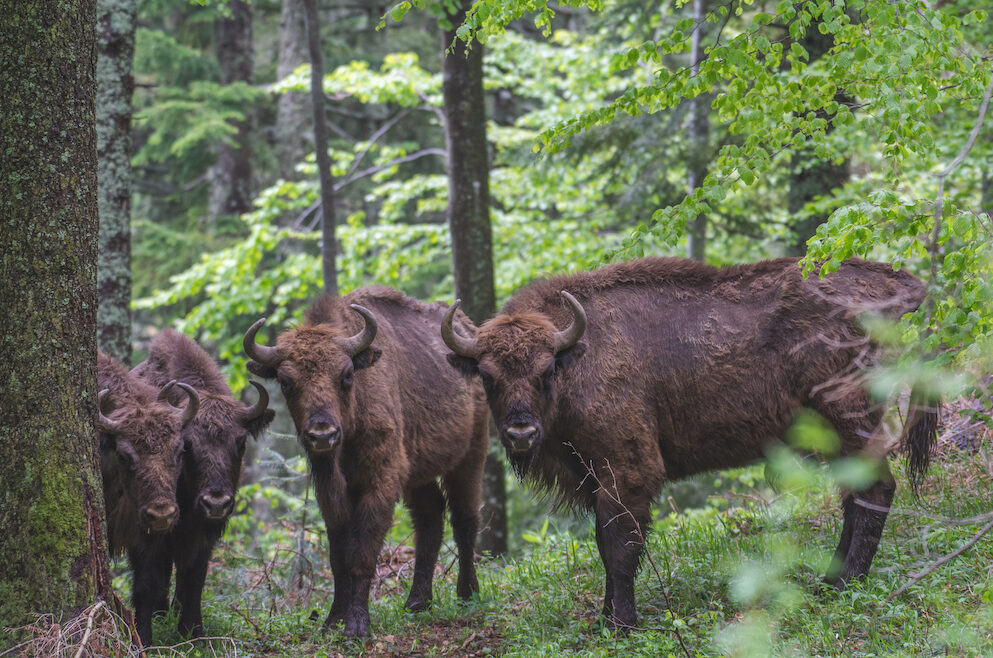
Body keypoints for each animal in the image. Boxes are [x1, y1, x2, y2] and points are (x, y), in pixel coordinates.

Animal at [96, 348, 199, 644]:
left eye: (179, 450)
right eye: (124, 455)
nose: (162, 514)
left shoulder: (144, 536)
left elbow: (145, 585)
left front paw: (143, 640)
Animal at [131, 330, 276, 640]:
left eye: (241, 442)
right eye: (188, 445)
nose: (216, 503)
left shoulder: (203, 534)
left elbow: (195, 578)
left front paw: (193, 630)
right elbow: (146, 581)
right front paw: (144, 635)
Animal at [241, 286, 488, 636]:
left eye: (346, 375)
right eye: (286, 382)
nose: (322, 434)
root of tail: (469, 332)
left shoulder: (380, 481)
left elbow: (362, 552)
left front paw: (357, 626)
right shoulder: (330, 490)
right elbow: (338, 556)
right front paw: (332, 621)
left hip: (470, 457)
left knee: (464, 519)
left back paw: (467, 595)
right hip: (419, 473)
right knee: (430, 517)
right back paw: (417, 602)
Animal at [442, 255, 936, 624]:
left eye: (546, 372)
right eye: (487, 376)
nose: (520, 432)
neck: (577, 356)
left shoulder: (628, 471)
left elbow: (620, 546)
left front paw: (622, 623)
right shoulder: (595, 477)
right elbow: (604, 544)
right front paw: (605, 616)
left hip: (851, 420)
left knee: (876, 488)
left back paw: (847, 584)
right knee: (854, 495)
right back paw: (829, 581)